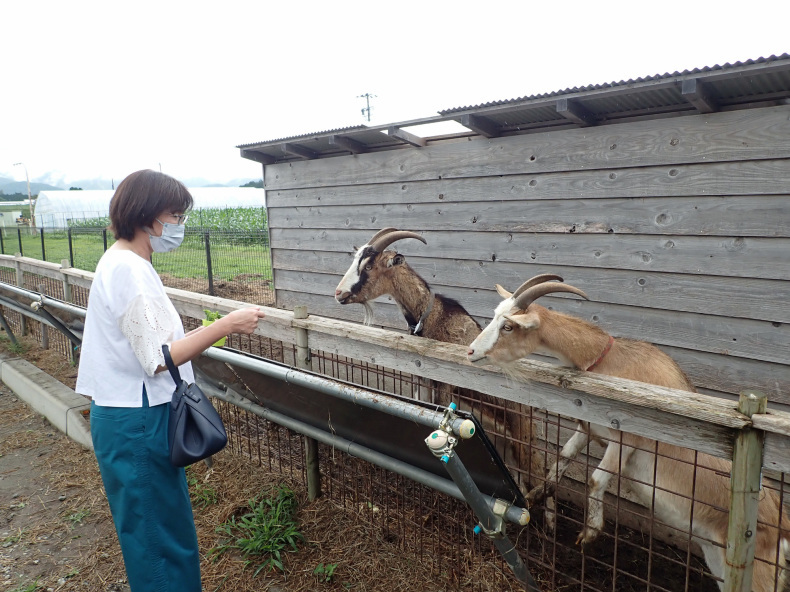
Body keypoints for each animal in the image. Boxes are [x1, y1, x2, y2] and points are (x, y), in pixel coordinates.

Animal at [468, 278, 788, 592]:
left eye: (508, 326)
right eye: (496, 315)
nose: (471, 352)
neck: (609, 361)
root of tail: (781, 530)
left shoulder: (626, 436)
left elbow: (597, 478)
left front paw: (590, 531)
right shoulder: (588, 426)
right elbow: (562, 458)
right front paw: (537, 495)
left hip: (756, 571)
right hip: (716, 557)